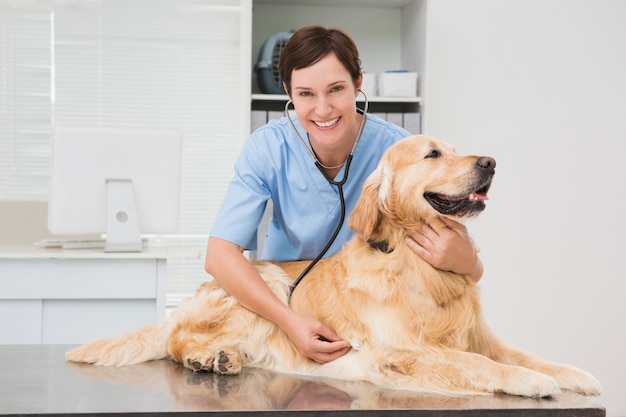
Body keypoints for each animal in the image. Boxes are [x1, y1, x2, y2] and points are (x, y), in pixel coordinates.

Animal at [64, 135, 600, 398]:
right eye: (433, 153)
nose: (490, 162)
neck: (416, 264)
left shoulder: (480, 336)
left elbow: (522, 354)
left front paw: (574, 373)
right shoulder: (401, 350)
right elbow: (478, 364)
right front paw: (530, 383)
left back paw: (226, 357)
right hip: (267, 281)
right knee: (177, 340)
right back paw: (206, 356)